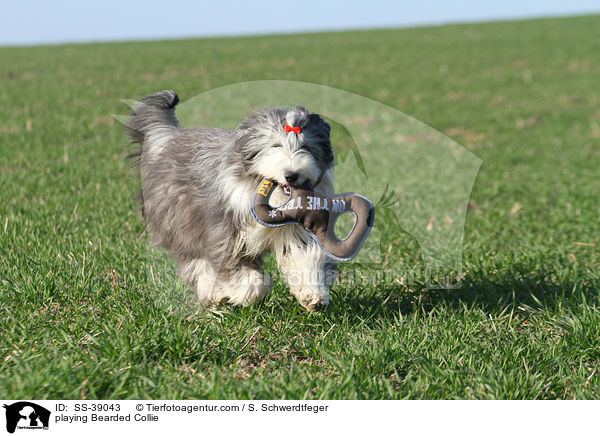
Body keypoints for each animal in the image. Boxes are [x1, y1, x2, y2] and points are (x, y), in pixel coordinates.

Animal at [126, 91, 336, 310]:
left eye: (306, 147)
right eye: (276, 145)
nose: (292, 175)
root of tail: (170, 138)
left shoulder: (295, 230)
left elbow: (306, 256)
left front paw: (313, 295)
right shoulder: (225, 233)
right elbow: (236, 270)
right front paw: (249, 292)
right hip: (182, 221)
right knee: (195, 262)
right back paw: (215, 296)